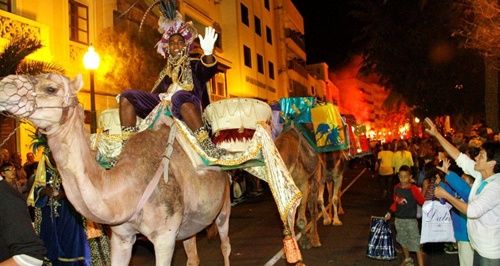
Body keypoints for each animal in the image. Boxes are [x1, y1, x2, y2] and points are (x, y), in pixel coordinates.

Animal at [0, 73, 230, 266]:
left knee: (225, 245)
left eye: (51, 88)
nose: (4, 85)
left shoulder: (165, 237)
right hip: (190, 224)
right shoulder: (121, 237)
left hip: (223, 208)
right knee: (193, 255)